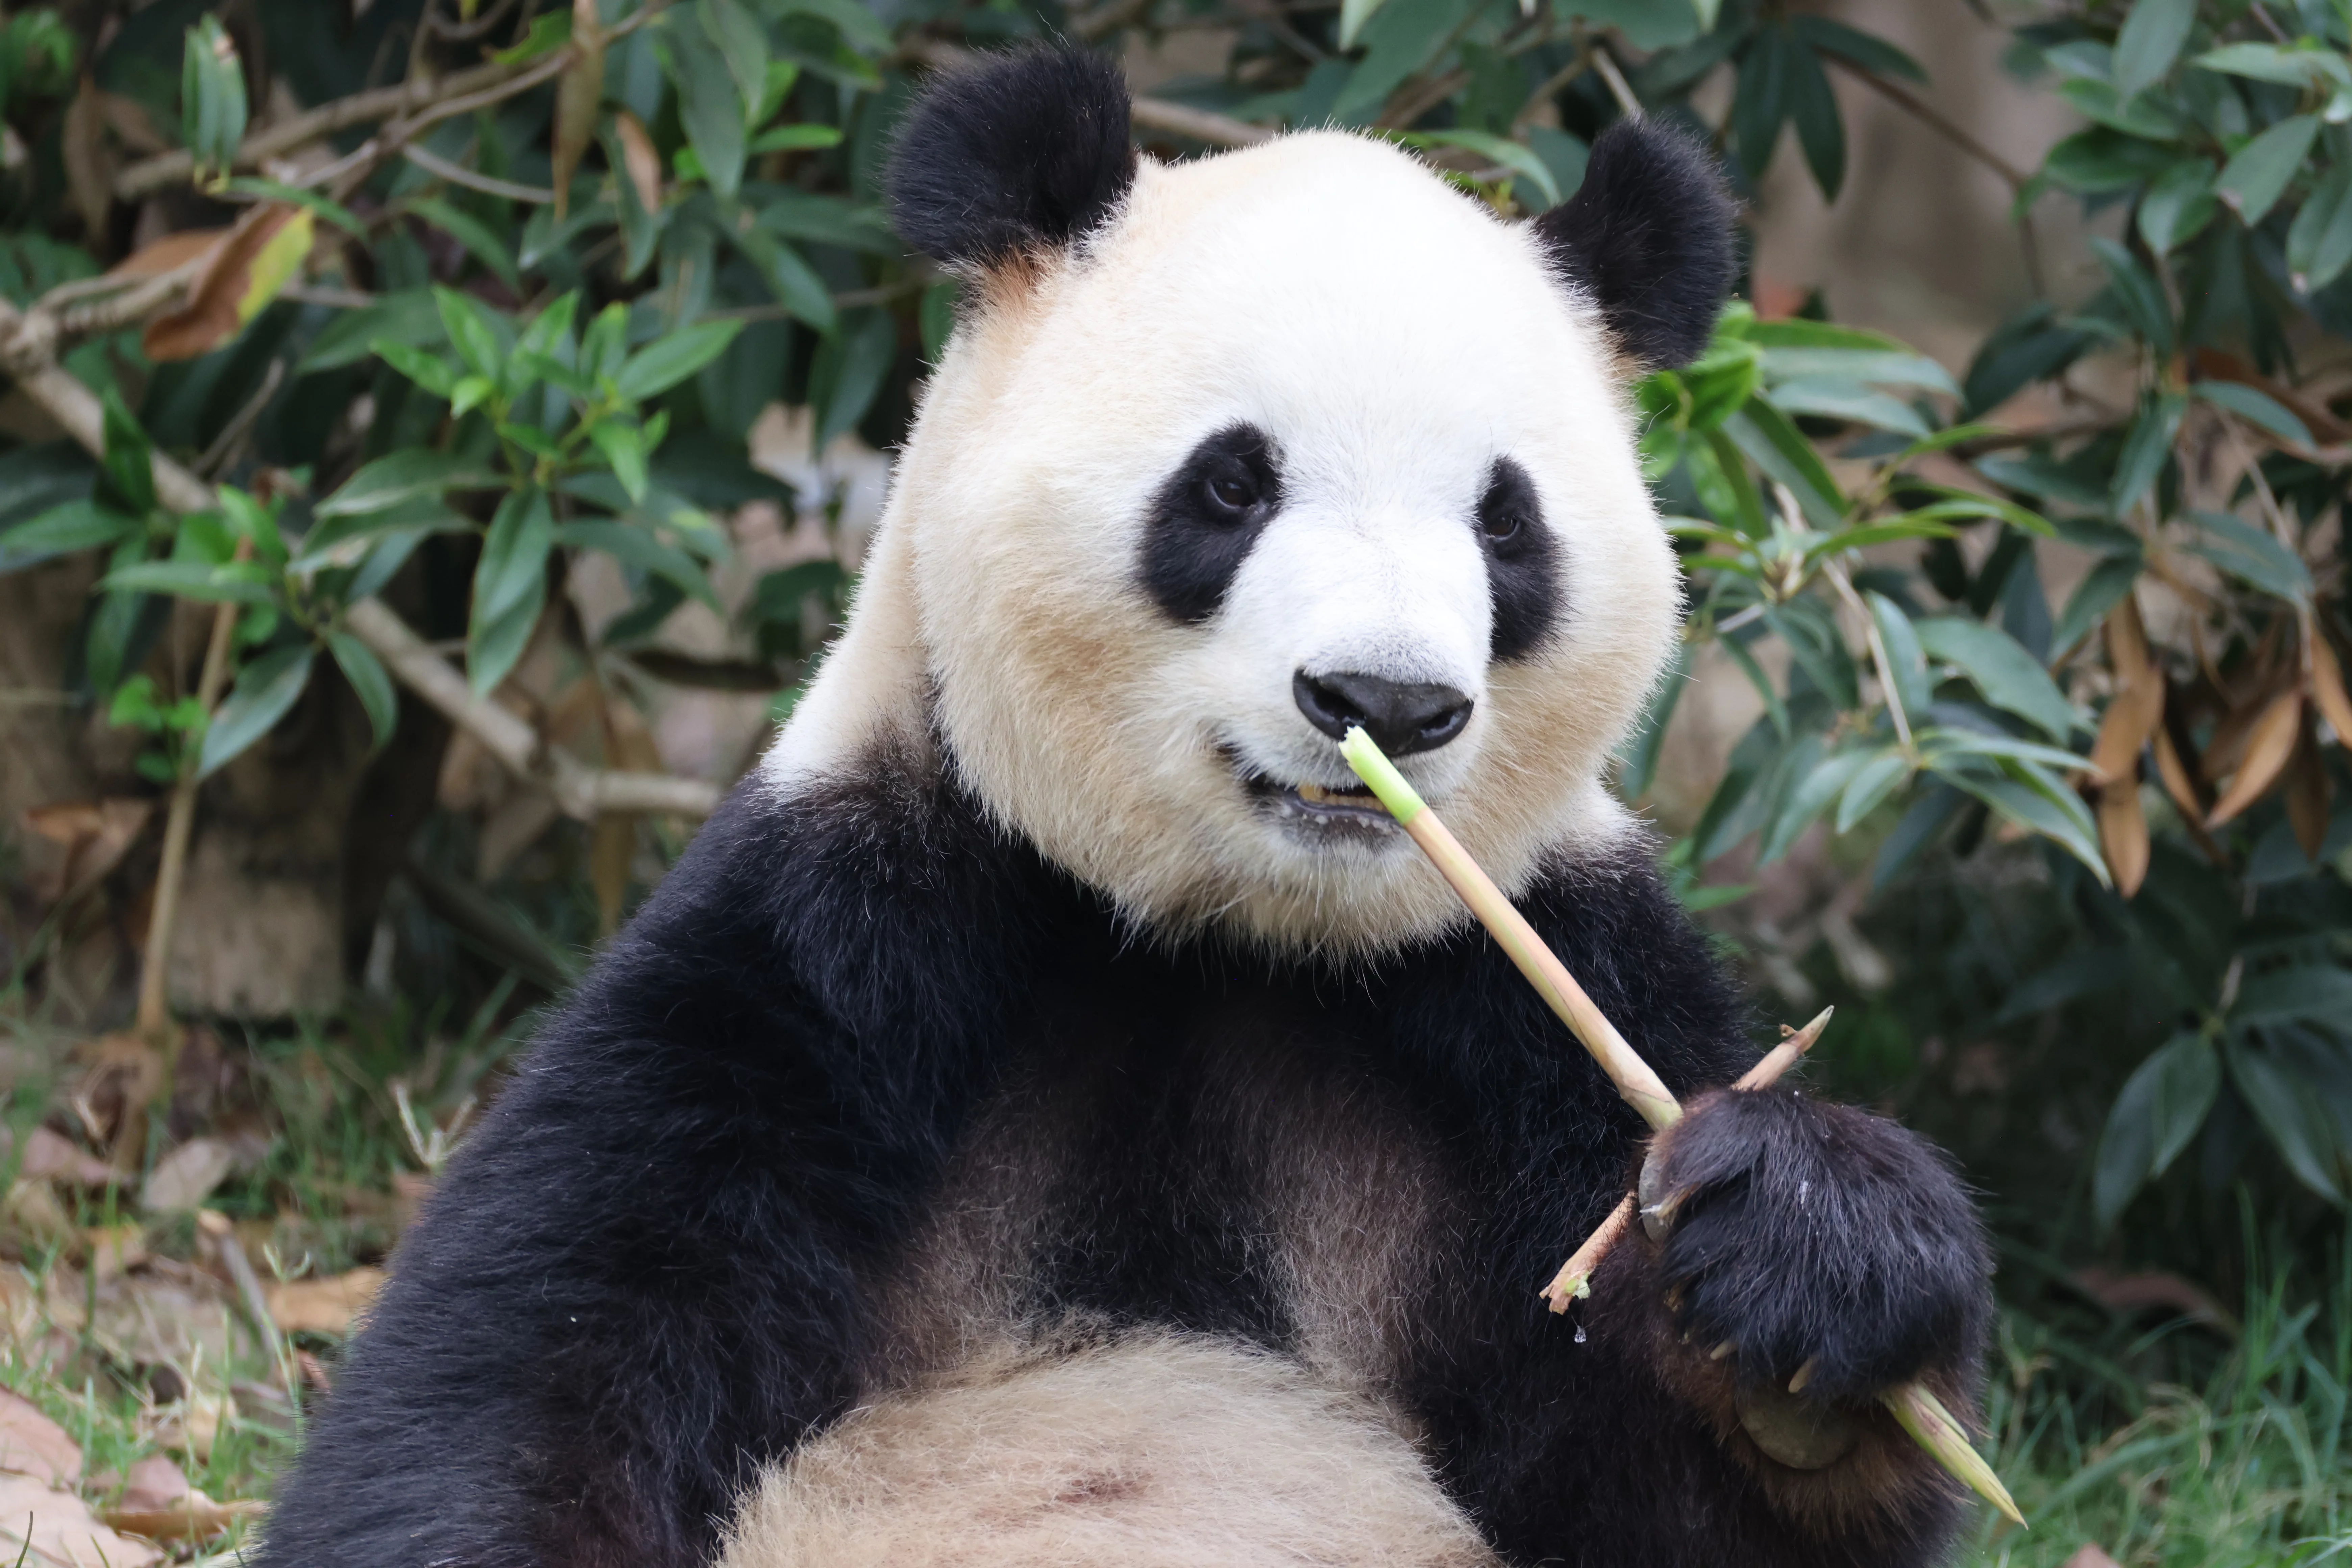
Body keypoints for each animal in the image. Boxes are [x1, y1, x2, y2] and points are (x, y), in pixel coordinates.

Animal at [252, 46, 1991, 1568]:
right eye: (1232, 484)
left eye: (1506, 524)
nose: (1386, 702)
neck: (1219, 938)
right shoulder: (841, 953)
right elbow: (527, 1372)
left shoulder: (1527, 1011)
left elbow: (1672, 1491)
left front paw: (1802, 1295)